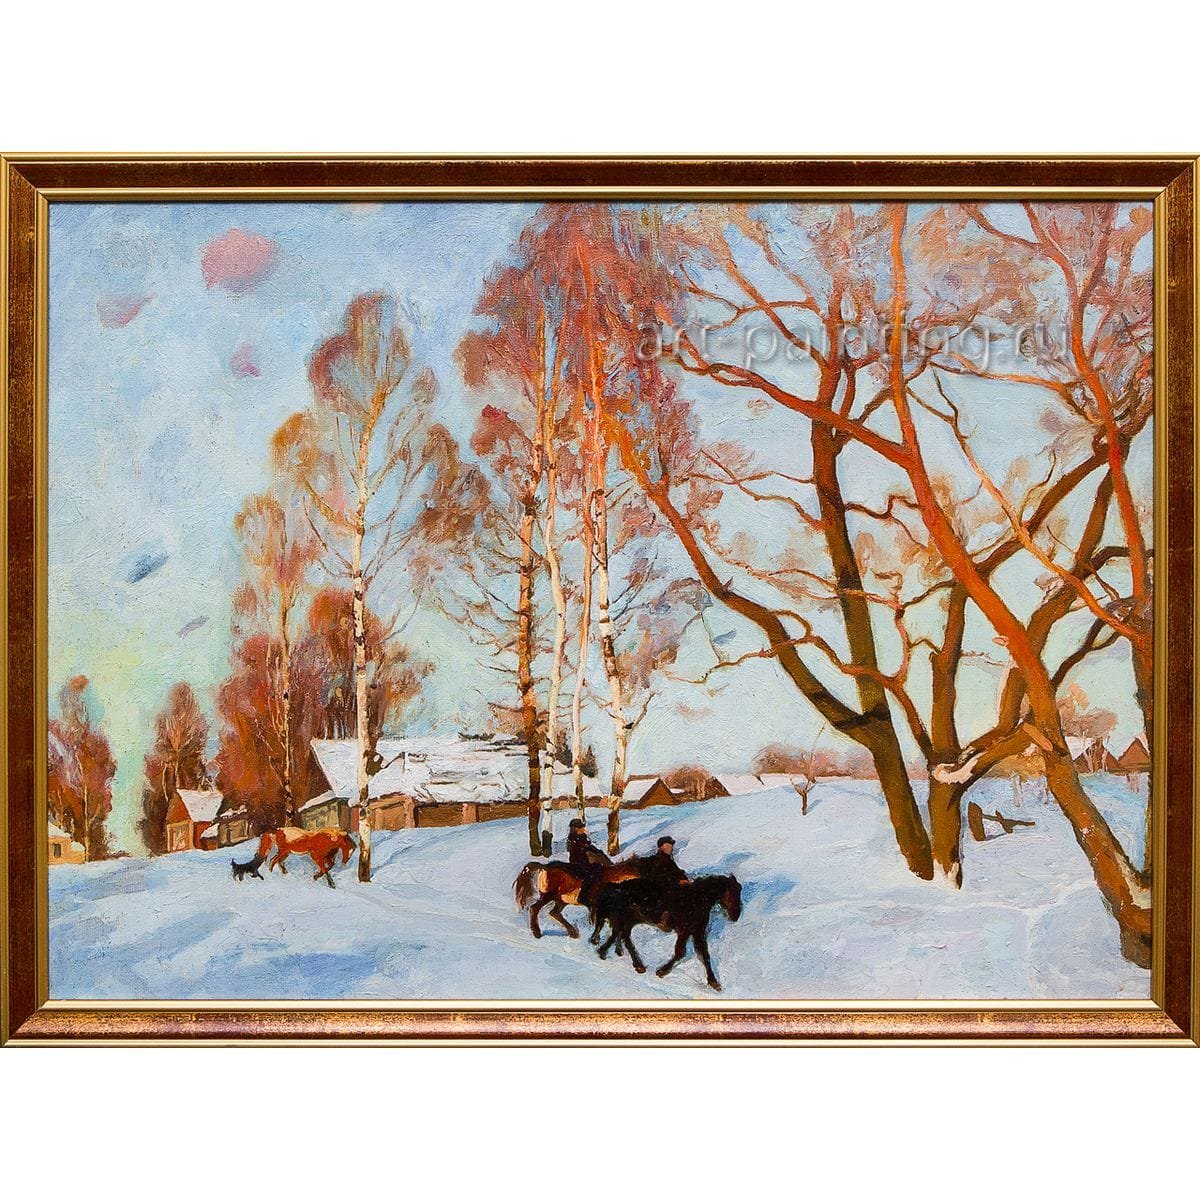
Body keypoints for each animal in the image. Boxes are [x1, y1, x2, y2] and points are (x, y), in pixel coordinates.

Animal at [513, 858, 648, 939]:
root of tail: (545, 866)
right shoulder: (594, 907)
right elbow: (595, 922)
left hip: (561, 900)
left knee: (554, 913)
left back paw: (573, 933)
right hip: (548, 896)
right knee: (534, 908)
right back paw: (537, 932)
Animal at [592, 874, 742, 991]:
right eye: (733, 893)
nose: (736, 916)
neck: (696, 900)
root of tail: (617, 887)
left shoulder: (697, 933)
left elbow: (704, 955)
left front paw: (713, 982)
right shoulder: (685, 931)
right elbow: (680, 952)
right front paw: (662, 971)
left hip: (628, 921)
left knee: (620, 935)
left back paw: (607, 952)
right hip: (626, 919)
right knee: (623, 937)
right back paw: (634, 963)